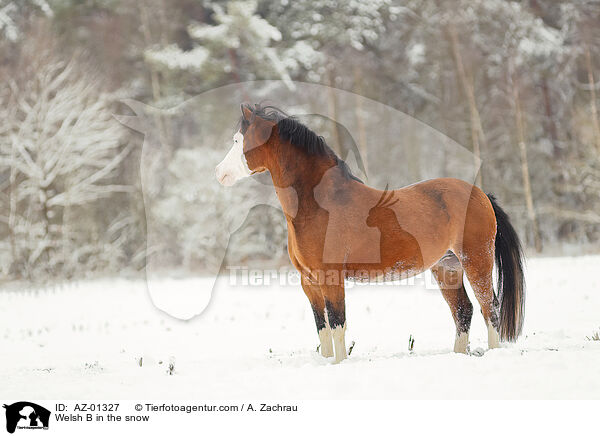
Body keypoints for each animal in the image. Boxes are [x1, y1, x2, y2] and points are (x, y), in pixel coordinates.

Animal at [217, 102, 524, 362]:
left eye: (237, 140)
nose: (219, 173)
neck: (320, 203)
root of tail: (480, 194)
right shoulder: (309, 282)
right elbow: (322, 328)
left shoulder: (331, 278)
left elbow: (338, 324)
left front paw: (339, 363)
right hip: (447, 267)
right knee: (463, 312)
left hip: (476, 262)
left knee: (490, 308)